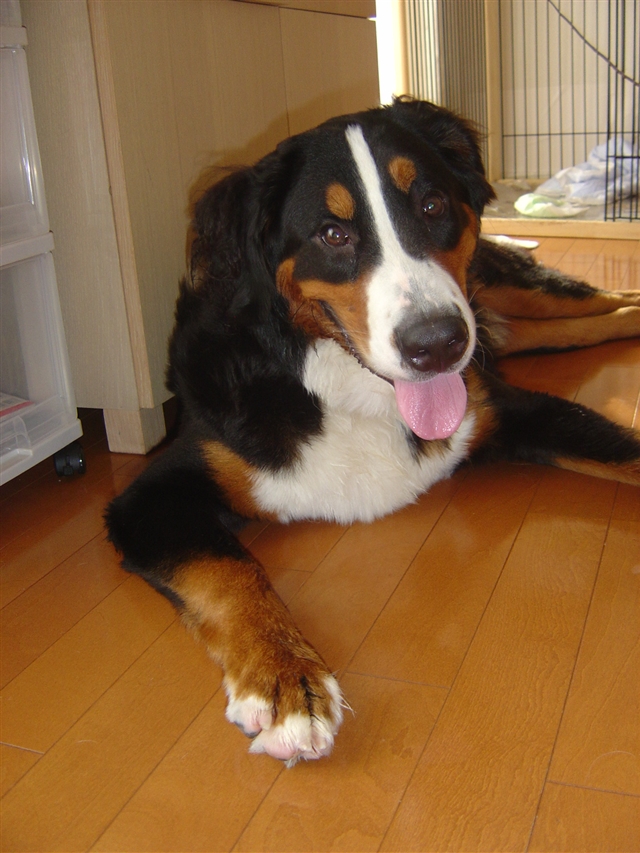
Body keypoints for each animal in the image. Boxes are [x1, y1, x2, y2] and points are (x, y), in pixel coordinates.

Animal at [106, 98, 640, 767]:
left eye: (431, 205)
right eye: (333, 235)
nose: (437, 344)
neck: (345, 391)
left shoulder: (508, 406)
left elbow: (626, 452)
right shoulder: (152, 494)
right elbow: (229, 572)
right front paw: (284, 680)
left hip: (515, 297)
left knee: (609, 301)